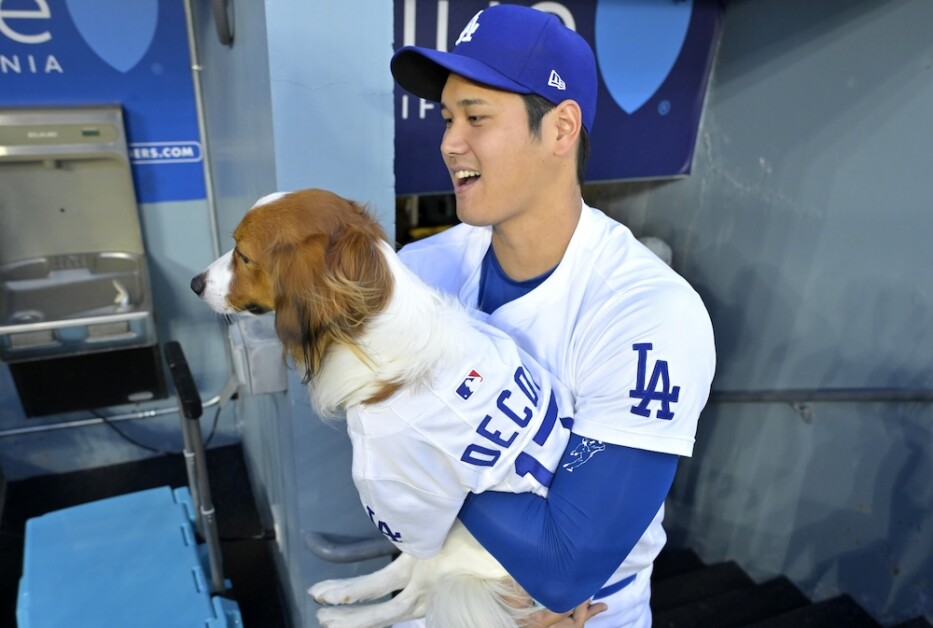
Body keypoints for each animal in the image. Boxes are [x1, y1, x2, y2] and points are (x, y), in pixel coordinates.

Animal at [188, 190, 540, 628]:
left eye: (243, 255)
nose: (194, 283)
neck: (368, 327)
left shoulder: (408, 495)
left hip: (458, 542)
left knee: (414, 598)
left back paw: (346, 617)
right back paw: (341, 591)